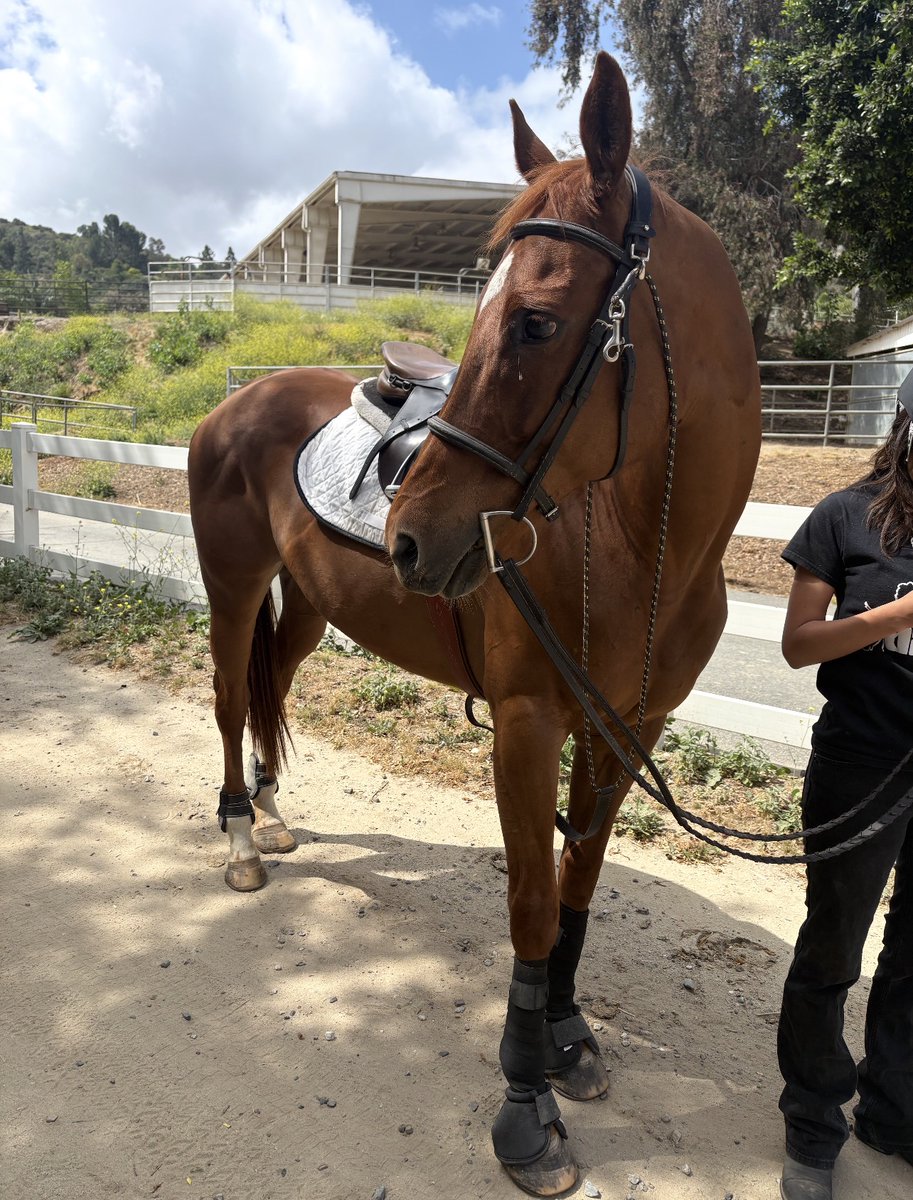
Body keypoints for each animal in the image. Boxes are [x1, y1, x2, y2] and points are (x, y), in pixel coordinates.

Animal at [188, 51, 761, 1197]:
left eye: (536, 320)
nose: (411, 537)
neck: (640, 546)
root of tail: (232, 404)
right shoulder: (529, 723)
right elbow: (533, 904)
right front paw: (524, 1102)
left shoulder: (627, 732)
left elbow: (579, 887)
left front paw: (570, 1036)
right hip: (232, 587)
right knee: (230, 697)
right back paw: (237, 834)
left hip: (304, 607)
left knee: (270, 689)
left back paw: (270, 812)